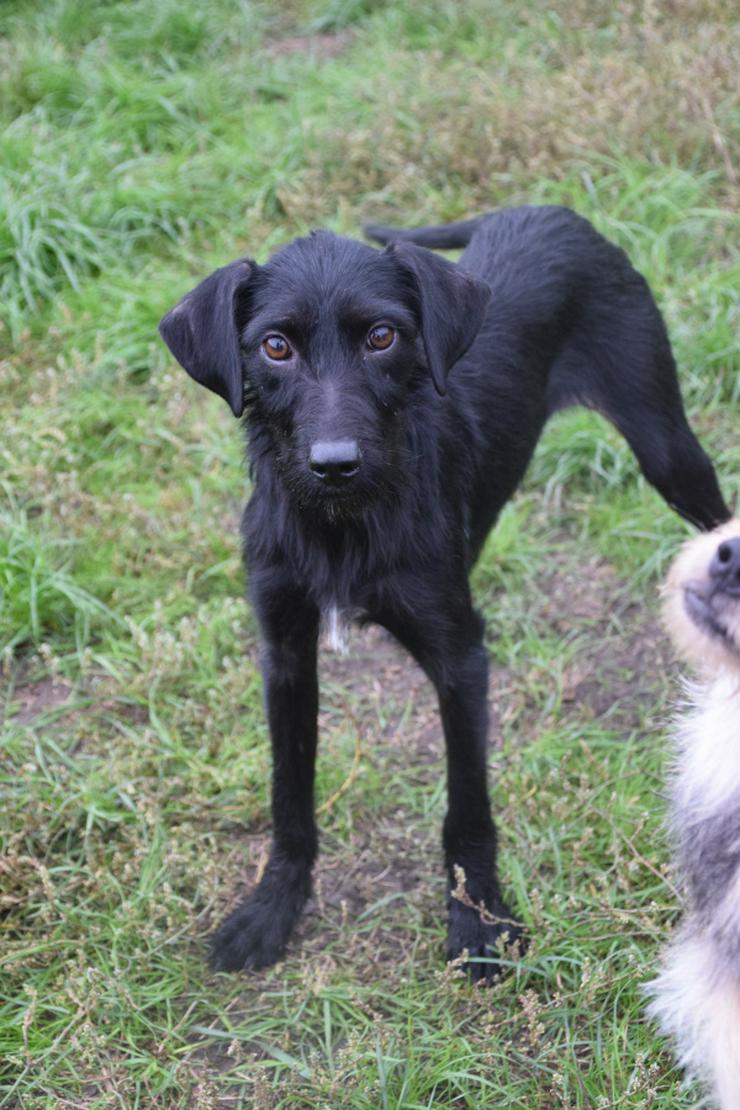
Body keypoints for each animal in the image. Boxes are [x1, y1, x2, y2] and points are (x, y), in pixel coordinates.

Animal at [157, 202, 727, 981]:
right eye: (274, 346)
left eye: (382, 336)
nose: (334, 464)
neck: (342, 524)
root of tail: (544, 209)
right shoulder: (285, 654)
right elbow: (289, 795)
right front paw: (274, 907)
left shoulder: (460, 658)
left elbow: (468, 808)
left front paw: (478, 917)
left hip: (667, 445)